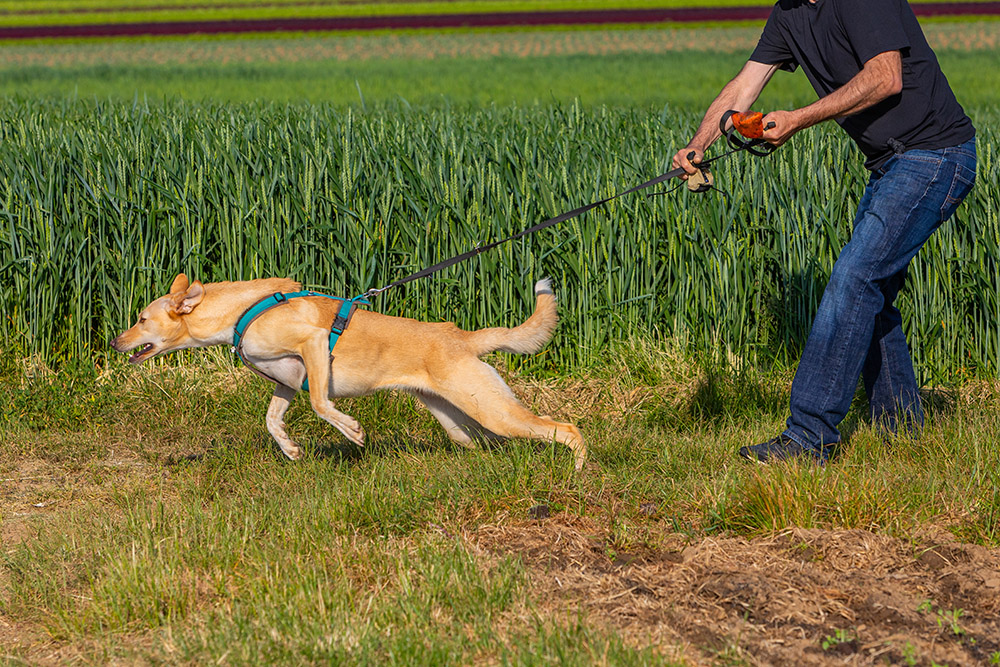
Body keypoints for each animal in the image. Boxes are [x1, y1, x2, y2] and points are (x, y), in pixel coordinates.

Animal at [111, 272, 584, 470]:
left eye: (141, 319)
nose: (115, 343)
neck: (241, 311)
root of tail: (462, 337)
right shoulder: (288, 381)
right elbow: (272, 420)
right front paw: (290, 450)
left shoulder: (315, 346)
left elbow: (322, 404)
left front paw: (352, 432)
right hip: (461, 419)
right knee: (489, 442)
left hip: (491, 409)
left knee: (566, 429)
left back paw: (577, 473)